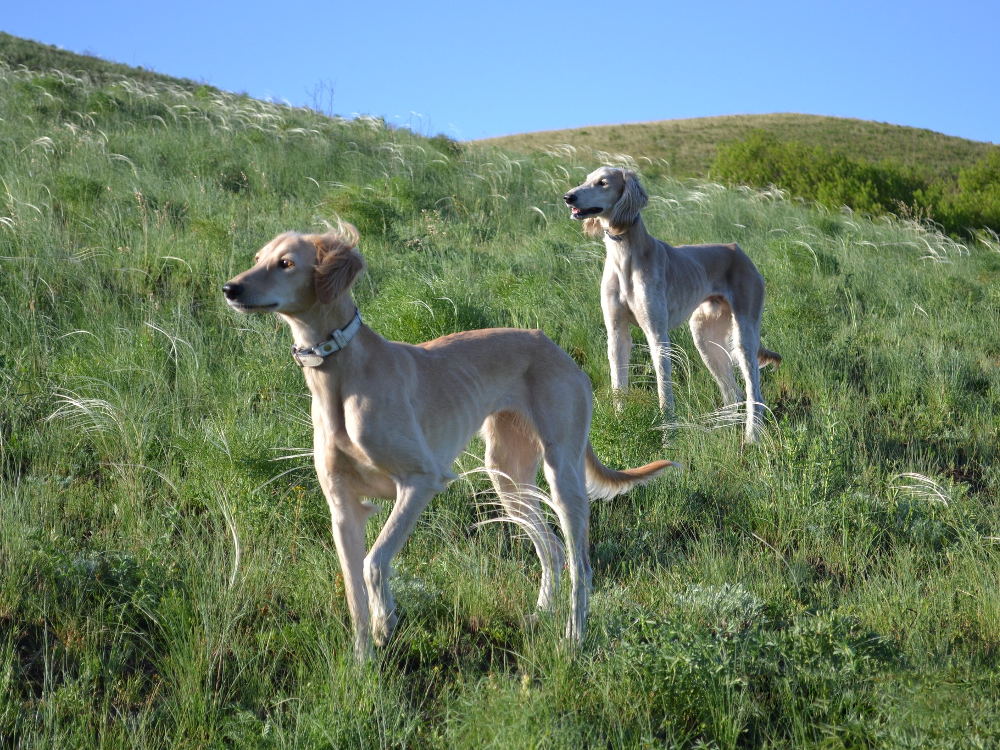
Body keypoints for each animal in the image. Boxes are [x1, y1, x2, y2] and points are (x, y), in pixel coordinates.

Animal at [220, 225, 672, 664]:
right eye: (258, 259)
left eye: (286, 263)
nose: (230, 289)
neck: (340, 376)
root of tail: (552, 346)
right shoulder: (343, 507)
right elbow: (352, 591)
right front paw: (363, 662)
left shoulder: (420, 481)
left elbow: (374, 562)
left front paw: (386, 620)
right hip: (507, 476)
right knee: (552, 548)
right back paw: (541, 613)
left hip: (562, 473)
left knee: (581, 563)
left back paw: (573, 638)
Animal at [564, 167, 780, 444]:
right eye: (586, 179)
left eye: (602, 183)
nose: (568, 197)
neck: (624, 255)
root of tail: (738, 251)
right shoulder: (616, 333)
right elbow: (618, 385)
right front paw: (620, 426)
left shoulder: (657, 334)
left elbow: (663, 390)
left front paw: (668, 437)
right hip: (705, 338)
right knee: (733, 393)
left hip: (744, 334)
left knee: (755, 393)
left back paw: (752, 437)